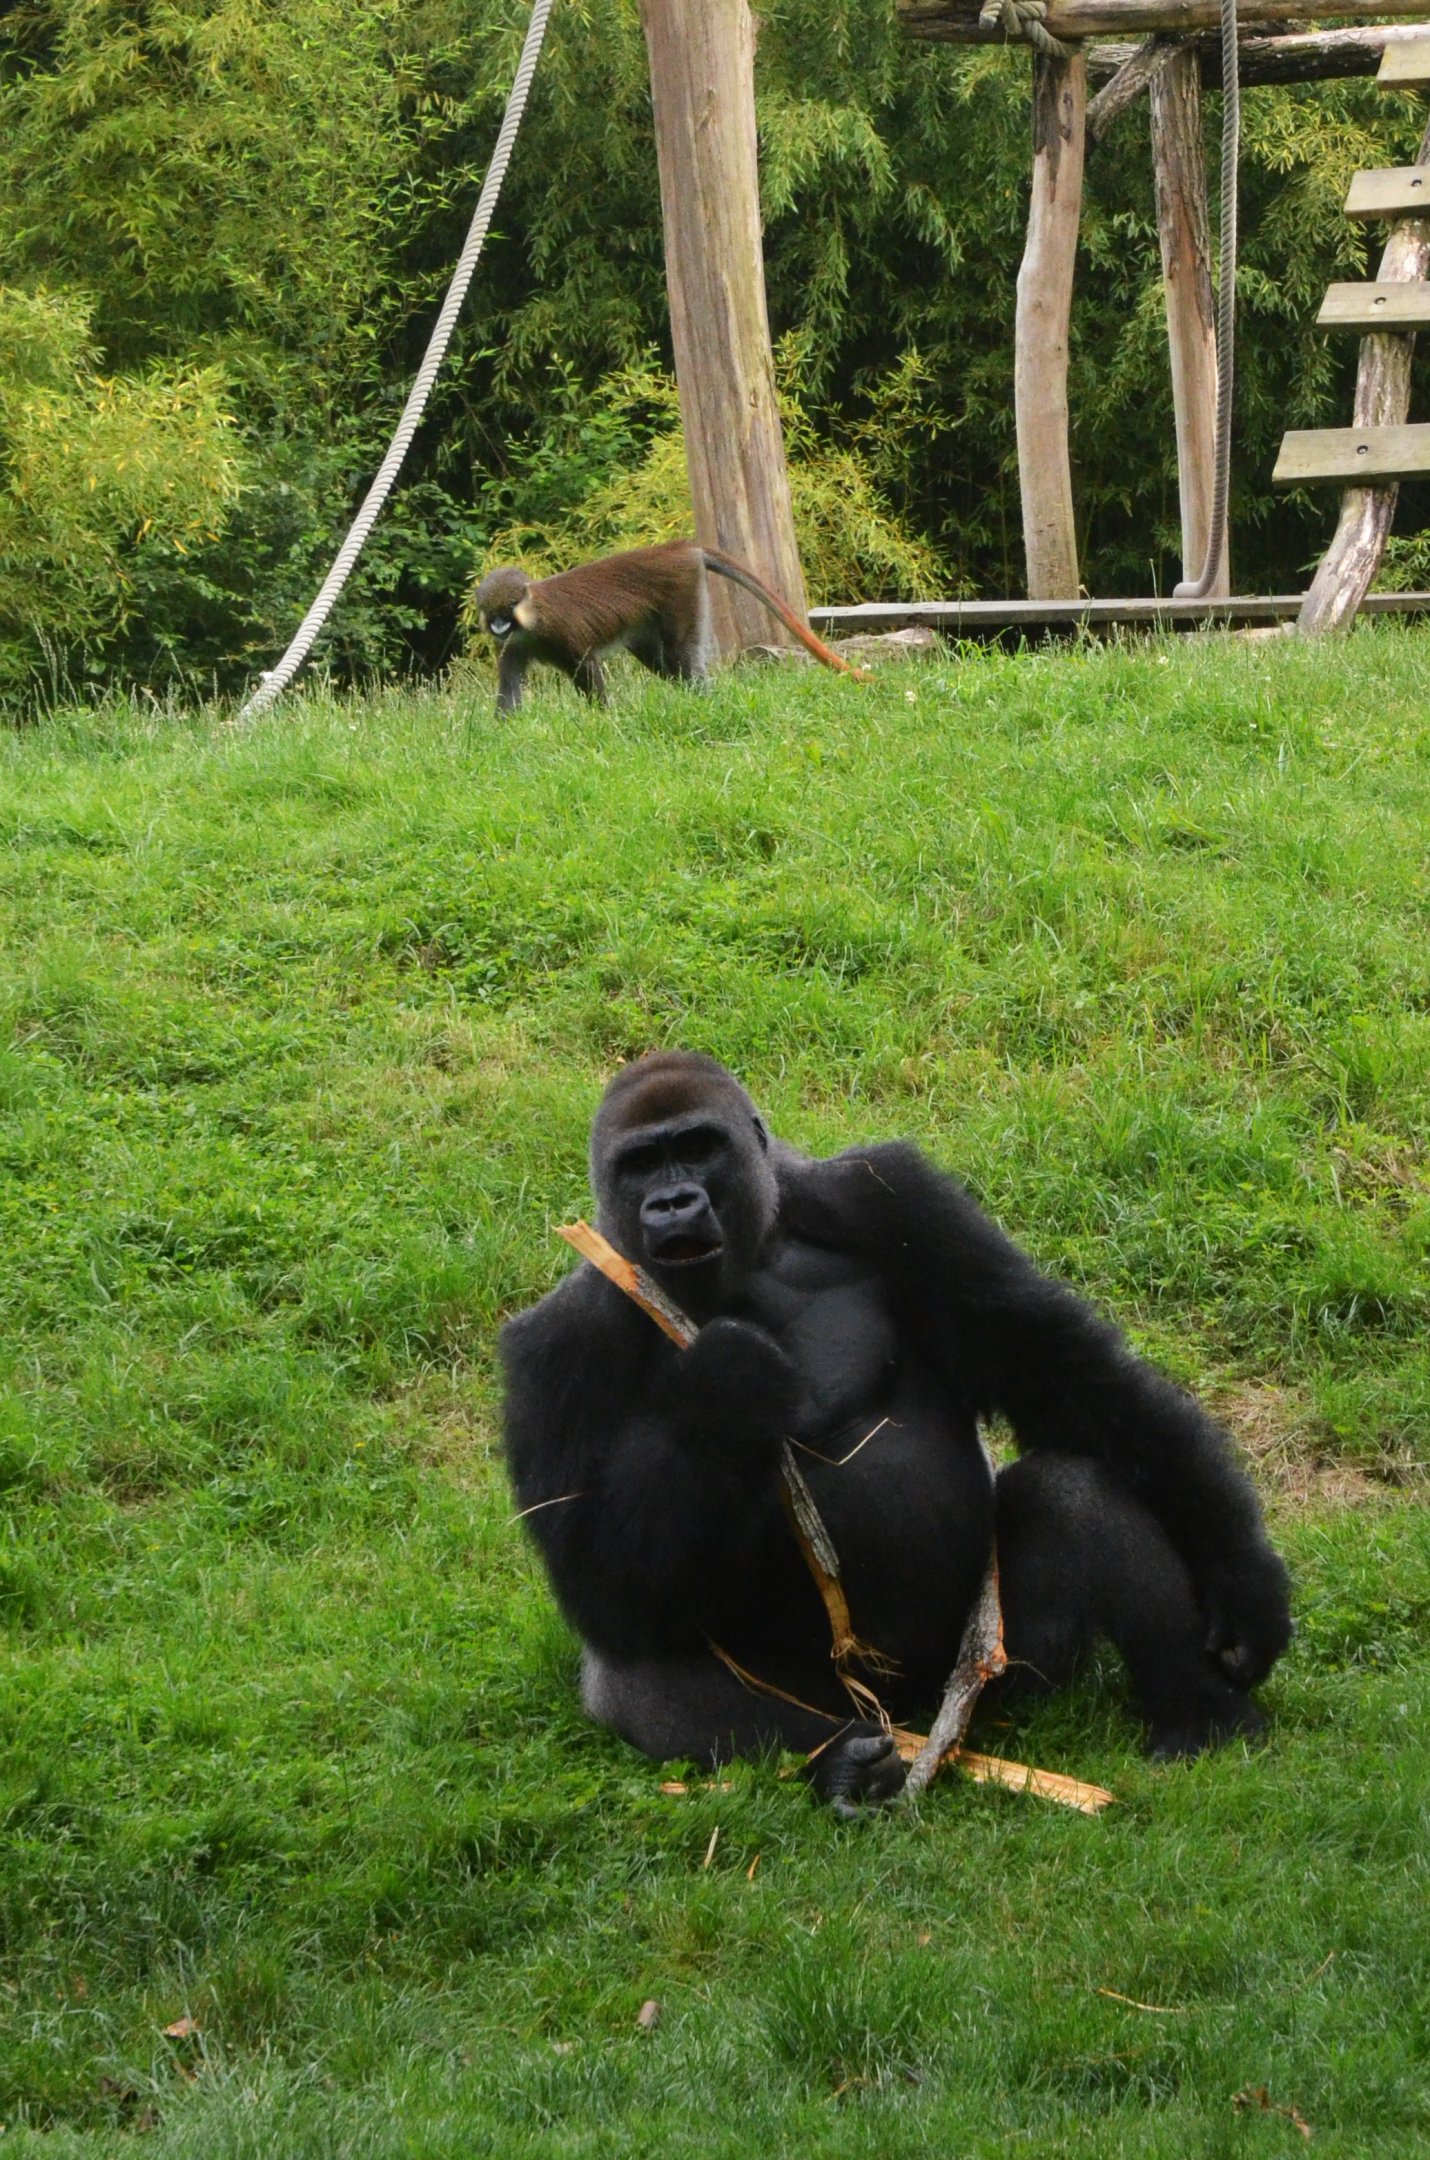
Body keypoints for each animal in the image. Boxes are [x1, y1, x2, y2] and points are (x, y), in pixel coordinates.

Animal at [471, 541, 867, 715]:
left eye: (507, 609)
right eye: (491, 613)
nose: (499, 625)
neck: (531, 619)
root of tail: (680, 547)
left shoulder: (563, 634)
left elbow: (587, 669)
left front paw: (604, 719)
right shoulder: (512, 646)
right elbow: (509, 686)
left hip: (683, 591)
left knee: (680, 659)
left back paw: (706, 700)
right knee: (665, 665)